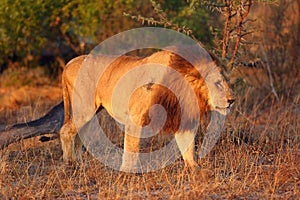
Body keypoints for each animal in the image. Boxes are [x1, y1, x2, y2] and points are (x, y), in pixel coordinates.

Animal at [59, 49, 236, 171]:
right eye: (217, 84)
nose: (232, 100)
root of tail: (69, 63)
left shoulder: (180, 118)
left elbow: (187, 147)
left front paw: (195, 168)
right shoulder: (134, 118)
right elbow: (131, 149)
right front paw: (126, 173)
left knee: (78, 134)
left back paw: (80, 163)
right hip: (85, 108)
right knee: (65, 130)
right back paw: (69, 163)